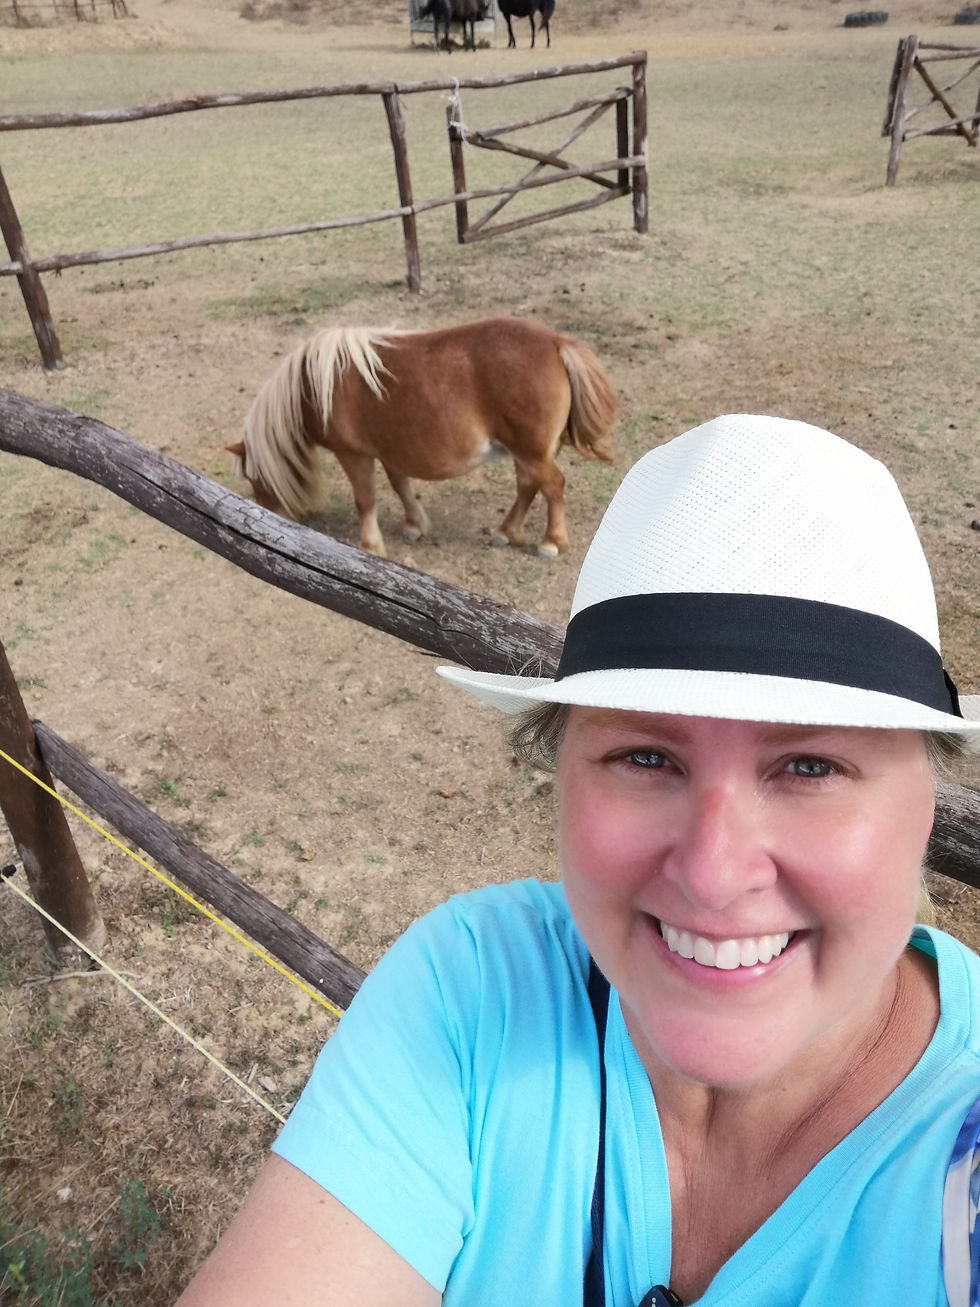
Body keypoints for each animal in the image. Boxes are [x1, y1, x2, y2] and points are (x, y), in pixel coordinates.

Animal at [228, 317, 619, 559]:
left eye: (254, 479)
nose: (264, 523)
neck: (315, 388)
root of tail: (555, 342)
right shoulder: (388, 450)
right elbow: (401, 486)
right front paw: (414, 525)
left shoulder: (353, 454)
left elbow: (365, 499)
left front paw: (370, 545)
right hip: (526, 451)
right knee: (529, 486)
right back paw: (506, 531)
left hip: (531, 451)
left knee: (552, 485)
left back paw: (551, 542)